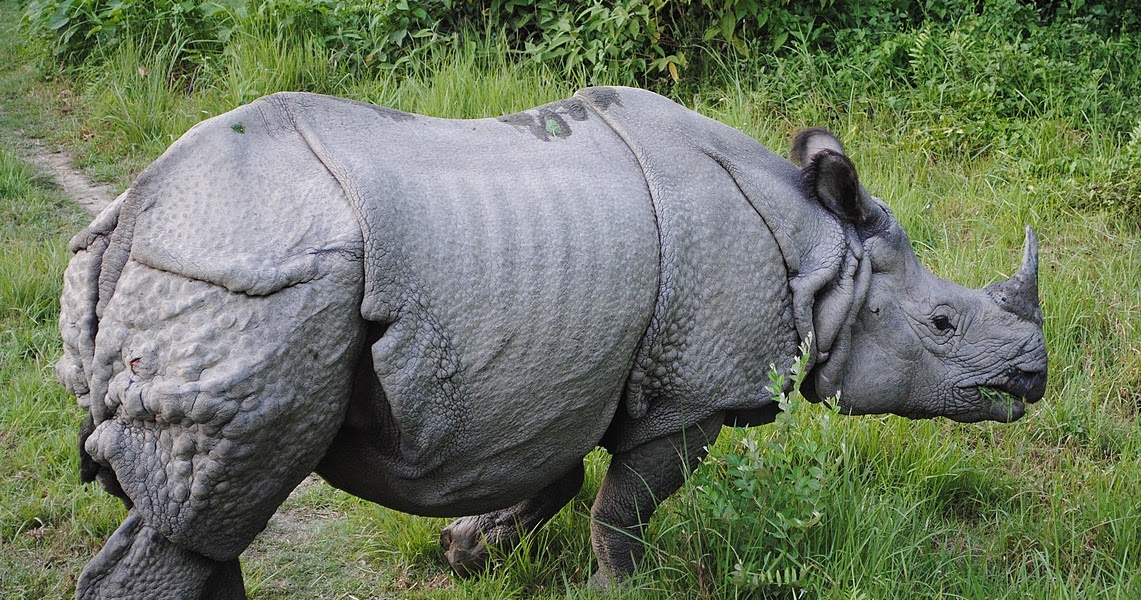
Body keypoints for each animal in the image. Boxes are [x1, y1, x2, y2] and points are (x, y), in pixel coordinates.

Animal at [57, 86, 1047, 598]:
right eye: (943, 323)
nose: (1033, 376)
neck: (822, 257)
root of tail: (134, 210)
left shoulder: (565, 374)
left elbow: (557, 477)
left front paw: (467, 551)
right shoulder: (694, 392)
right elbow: (622, 509)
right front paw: (622, 591)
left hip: (216, 270)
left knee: (204, 520)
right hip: (252, 281)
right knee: (212, 510)